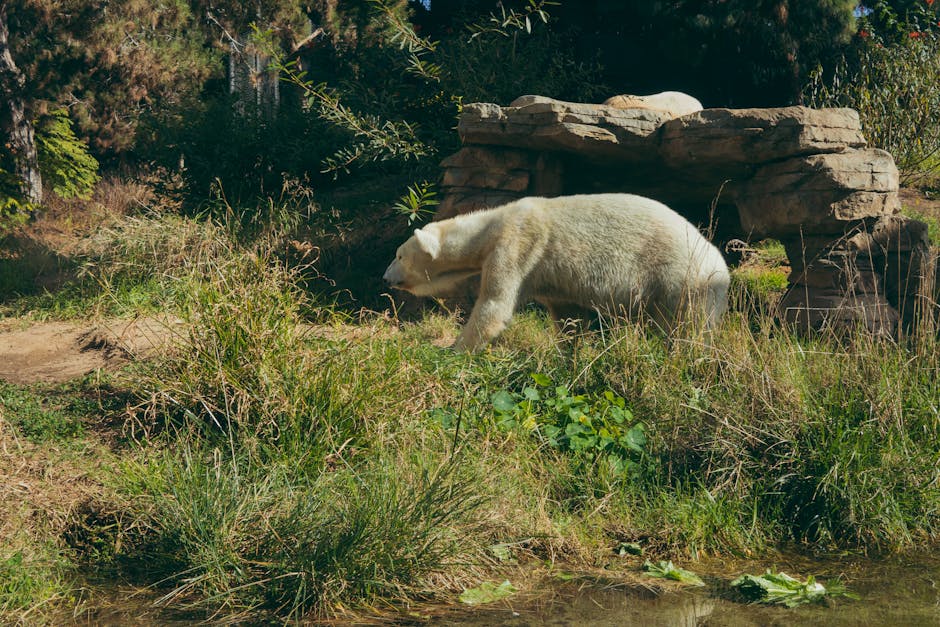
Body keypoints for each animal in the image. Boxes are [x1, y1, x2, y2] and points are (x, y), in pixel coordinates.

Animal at [383, 193, 730, 352]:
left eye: (398, 254)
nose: (385, 277)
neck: (490, 227)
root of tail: (721, 268)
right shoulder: (548, 275)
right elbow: (567, 315)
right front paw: (571, 349)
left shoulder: (518, 245)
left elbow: (494, 305)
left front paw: (452, 349)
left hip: (680, 279)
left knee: (687, 328)